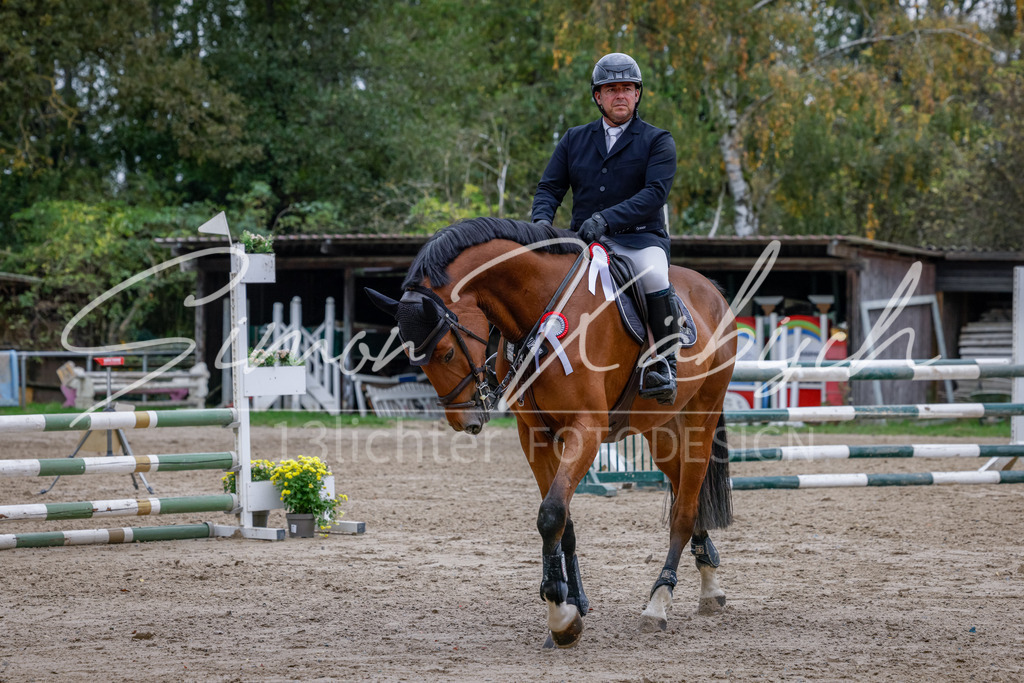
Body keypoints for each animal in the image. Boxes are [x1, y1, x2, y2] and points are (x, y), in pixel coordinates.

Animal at [366, 217, 737, 648]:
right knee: (683, 490)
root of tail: (711, 289)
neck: (544, 311)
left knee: (685, 507)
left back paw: (659, 603)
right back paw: (709, 581)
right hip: (660, 429)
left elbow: (551, 513)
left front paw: (560, 615)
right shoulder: (535, 435)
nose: (466, 421)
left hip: (701, 417)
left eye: (447, 352)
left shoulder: (585, 429)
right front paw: (571, 605)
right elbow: (563, 520)